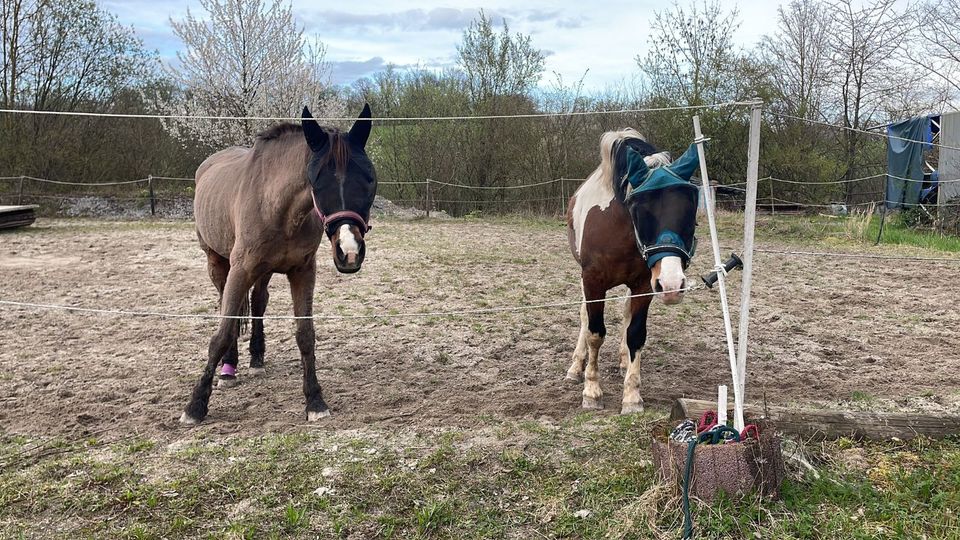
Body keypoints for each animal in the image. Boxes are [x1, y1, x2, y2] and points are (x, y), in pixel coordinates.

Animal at [182, 104, 376, 426]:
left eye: (370, 179)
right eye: (316, 182)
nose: (349, 251)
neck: (278, 207)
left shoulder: (303, 273)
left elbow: (305, 335)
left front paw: (315, 401)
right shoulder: (240, 271)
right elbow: (221, 333)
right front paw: (195, 405)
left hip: (263, 272)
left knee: (259, 302)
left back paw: (256, 357)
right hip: (217, 262)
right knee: (226, 304)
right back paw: (229, 367)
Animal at [564, 130, 696, 414]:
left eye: (690, 209)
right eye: (638, 208)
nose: (672, 284)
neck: (620, 229)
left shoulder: (644, 285)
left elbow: (635, 334)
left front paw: (632, 396)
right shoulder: (592, 281)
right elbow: (594, 333)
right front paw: (592, 391)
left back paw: (625, 360)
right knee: (584, 319)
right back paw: (575, 368)